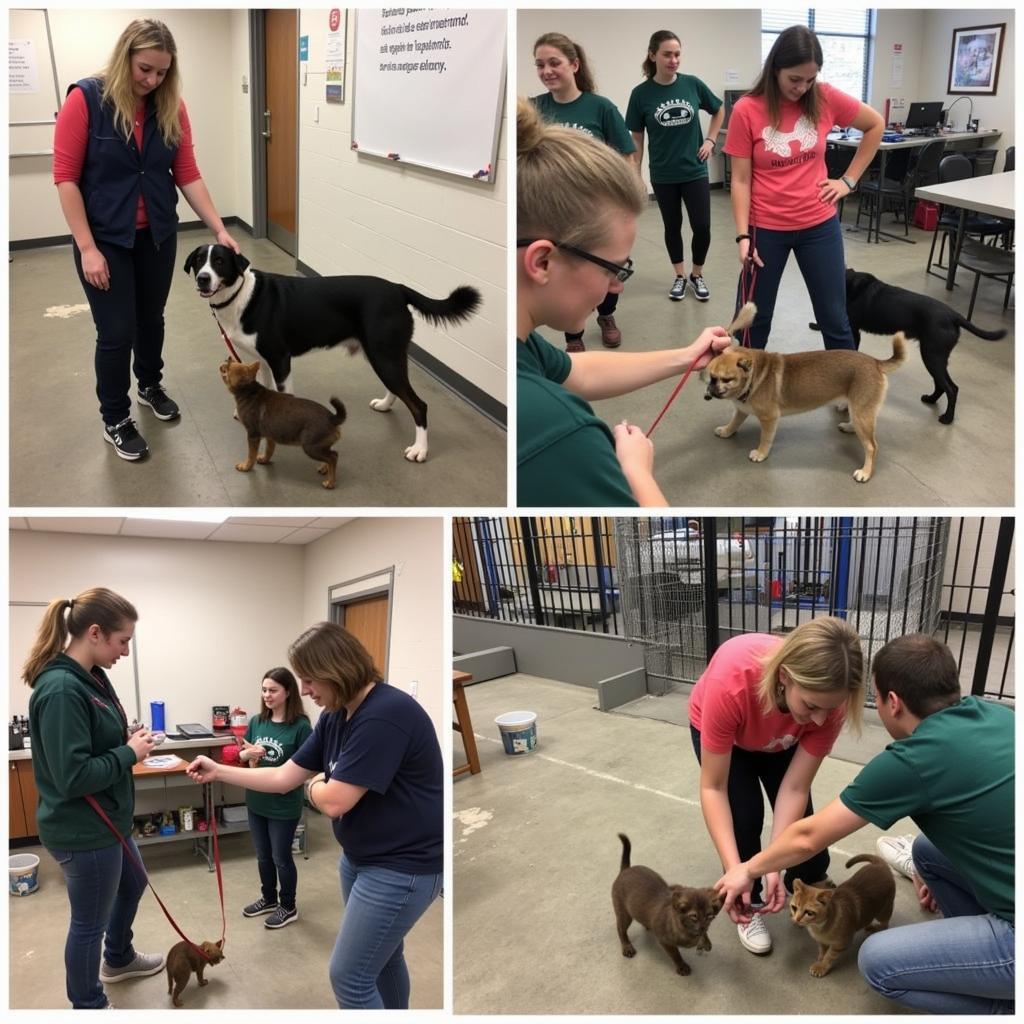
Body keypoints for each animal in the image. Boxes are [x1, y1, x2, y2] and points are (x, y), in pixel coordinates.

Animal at [186, 243, 481, 460]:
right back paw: (386, 404)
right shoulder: (264, 361)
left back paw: (420, 449)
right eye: (199, 260)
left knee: (419, 405)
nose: (203, 279)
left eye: (220, 261)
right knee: (399, 389)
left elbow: (283, 395)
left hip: (383, 355)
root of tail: (398, 289)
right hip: (385, 354)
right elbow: (264, 388)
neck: (241, 297)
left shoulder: (281, 360)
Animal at [218, 360, 346, 487]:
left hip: (310, 447)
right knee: (331, 452)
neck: (250, 391)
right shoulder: (270, 436)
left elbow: (251, 454)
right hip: (319, 446)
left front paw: (246, 466)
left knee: (333, 457)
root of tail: (332, 418)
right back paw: (325, 469)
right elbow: (269, 450)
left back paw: (330, 482)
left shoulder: (253, 435)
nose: (223, 362)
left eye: (227, 366)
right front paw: (264, 459)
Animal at [610, 831, 724, 974]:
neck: (687, 931)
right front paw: (682, 967)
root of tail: (625, 869)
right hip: (624, 914)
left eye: (709, 916)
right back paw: (627, 947)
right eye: (694, 916)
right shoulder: (666, 942)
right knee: (620, 929)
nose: (703, 927)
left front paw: (705, 941)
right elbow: (676, 954)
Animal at [704, 301, 905, 481]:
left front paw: (761, 453)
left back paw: (865, 472)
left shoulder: (769, 419)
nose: (710, 391)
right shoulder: (742, 410)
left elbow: (765, 438)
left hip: (862, 413)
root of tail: (875, 362)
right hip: (859, 412)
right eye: (711, 376)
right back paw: (850, 427)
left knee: (871, 447)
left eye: (727, 380)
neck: (755, 375)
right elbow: (734, 422)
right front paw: (726, 431)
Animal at [815, 268, 1007, 423]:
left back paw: (947, 418)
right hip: (935, 357)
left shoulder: (854, 329)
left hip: (932, 356)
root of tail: (954, 315)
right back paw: (931, 399)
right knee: (943, 385)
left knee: (951, 388)